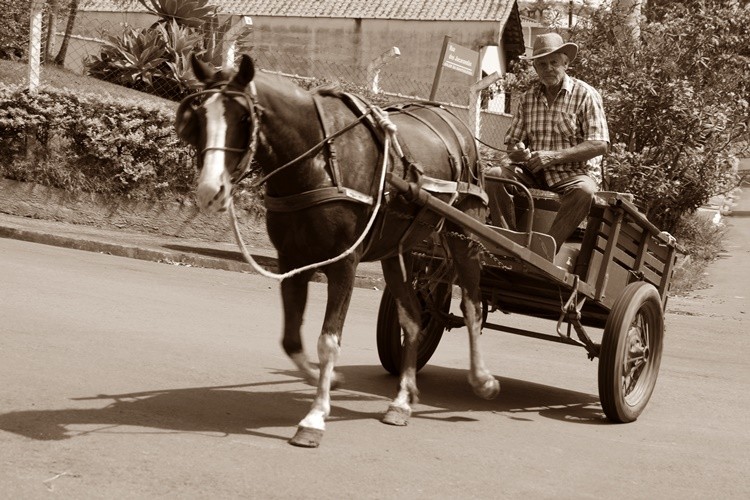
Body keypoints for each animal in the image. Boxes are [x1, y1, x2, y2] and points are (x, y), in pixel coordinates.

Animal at [176, 52, 500, 448]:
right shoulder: (292, 261)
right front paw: (329, 380)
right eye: (197, 119)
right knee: (412, 317)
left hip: (464, 235)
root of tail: (456, 123)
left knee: (471, 305)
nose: (210, 191)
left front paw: (314, 418)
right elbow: (291, 340)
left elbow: (328, 342)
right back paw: (402, 400)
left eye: (242, 118)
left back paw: (482, 379)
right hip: (396, 251)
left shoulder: (345, 263)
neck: (316, 158)